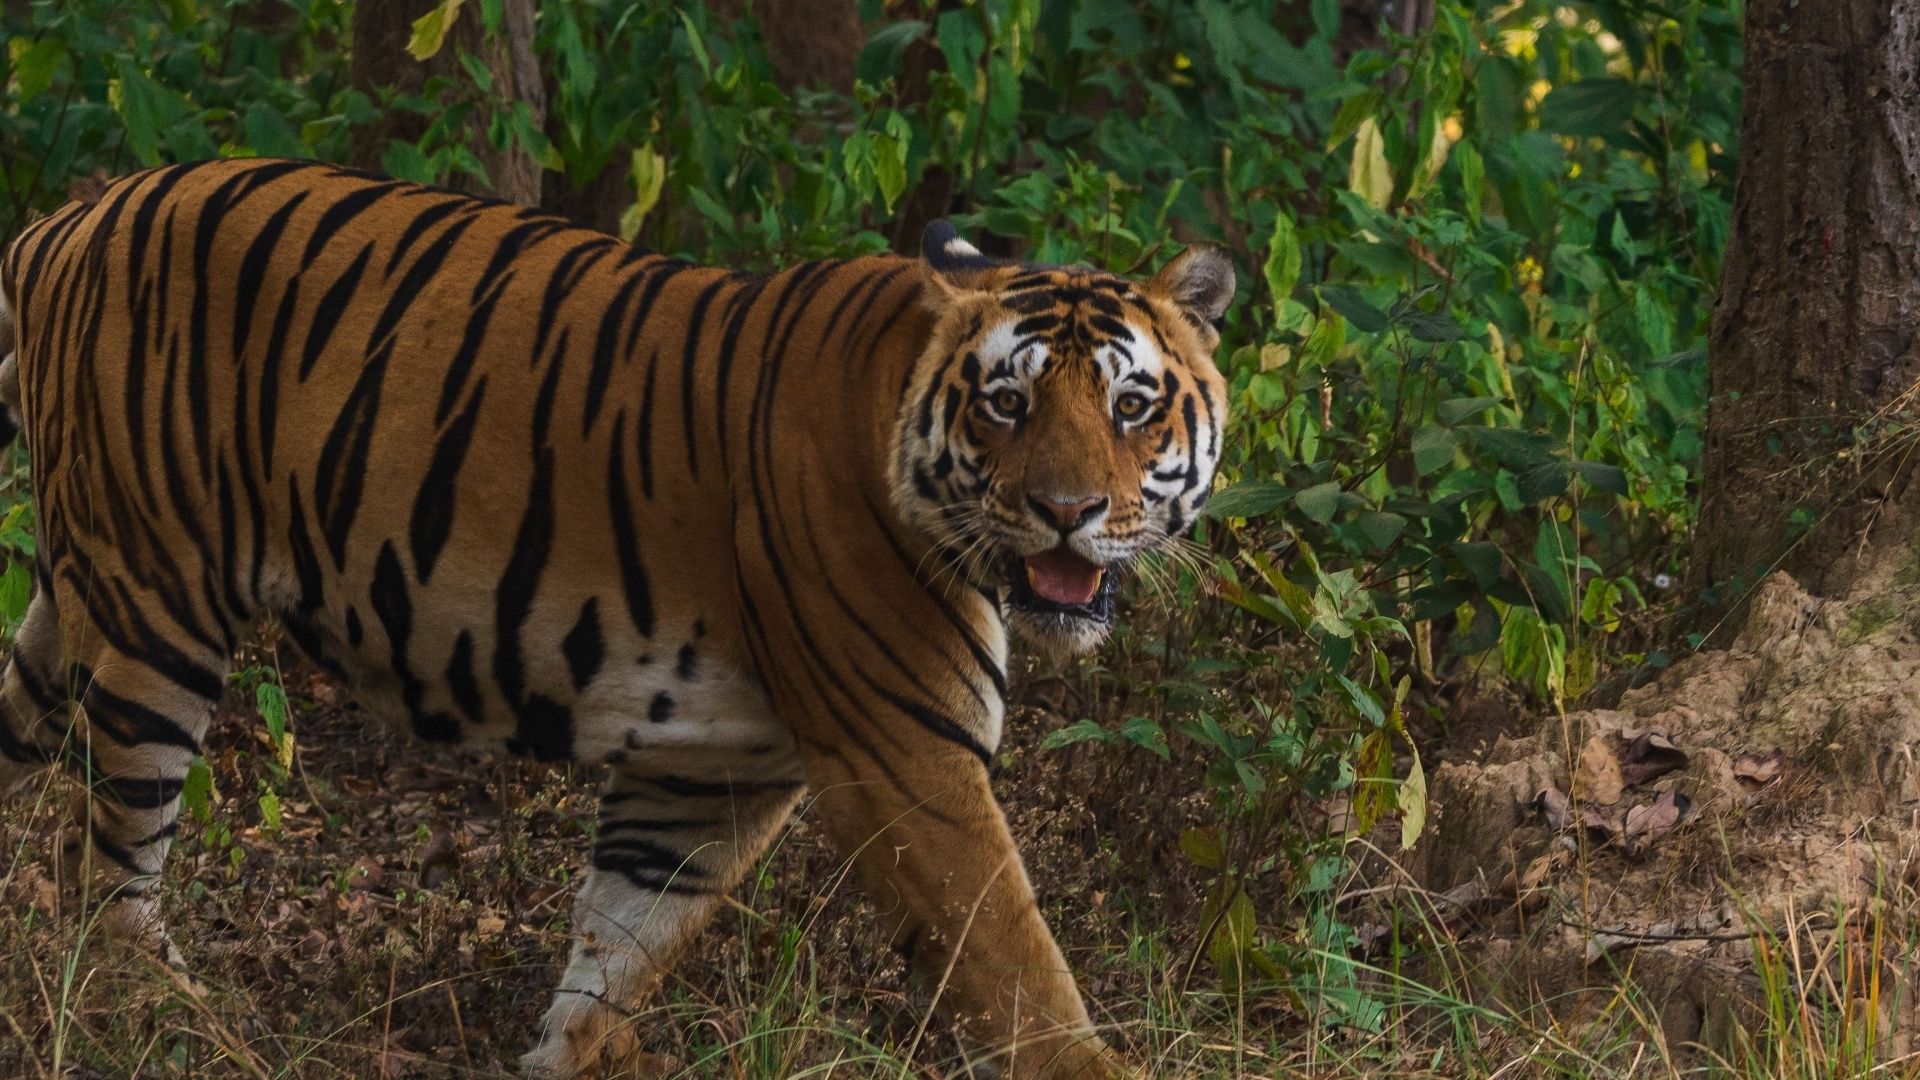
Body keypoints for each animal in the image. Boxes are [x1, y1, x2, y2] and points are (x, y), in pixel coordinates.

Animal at [0, 157, 1233, 1078]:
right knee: (113, 875)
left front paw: (568, 1055)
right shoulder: (906, 755)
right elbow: (1015, 968)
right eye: (1007, 404)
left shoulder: (708, 768)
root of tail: (68, 218)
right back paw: (174, 1024)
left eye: (1131, 405)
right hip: (156, 609)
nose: (1067, 513)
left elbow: (619, 943)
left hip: (78, 595)